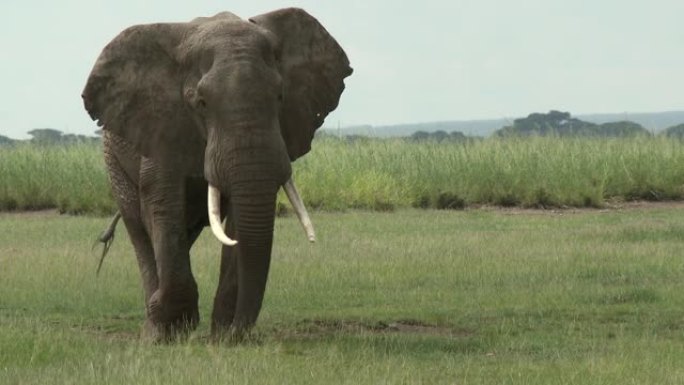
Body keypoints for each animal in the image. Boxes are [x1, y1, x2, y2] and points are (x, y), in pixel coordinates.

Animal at [83, 7, 352, 340]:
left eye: (280, 97)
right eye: (201, 103)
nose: (239, 332)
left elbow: (239, 217)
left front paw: (223, 337)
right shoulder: (162, 124)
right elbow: (162, 204)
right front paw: (172, 329)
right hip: (113, 159)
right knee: (139, 226)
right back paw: (154, 330)